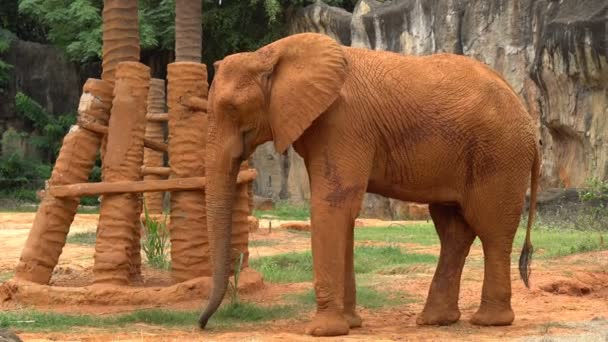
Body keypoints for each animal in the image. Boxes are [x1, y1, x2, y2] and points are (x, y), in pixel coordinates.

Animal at [197, 32, 540, 336]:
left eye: (231, 108)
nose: (202, 324)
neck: (270, 53)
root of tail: (530, 122)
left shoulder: (343, 122)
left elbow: (332, 205)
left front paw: (324, 331)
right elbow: (342, 211)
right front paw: (351, 324)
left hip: (499, 154)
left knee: (491, 229)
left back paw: (488, 322)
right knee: (453, 231)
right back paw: (435, 321)